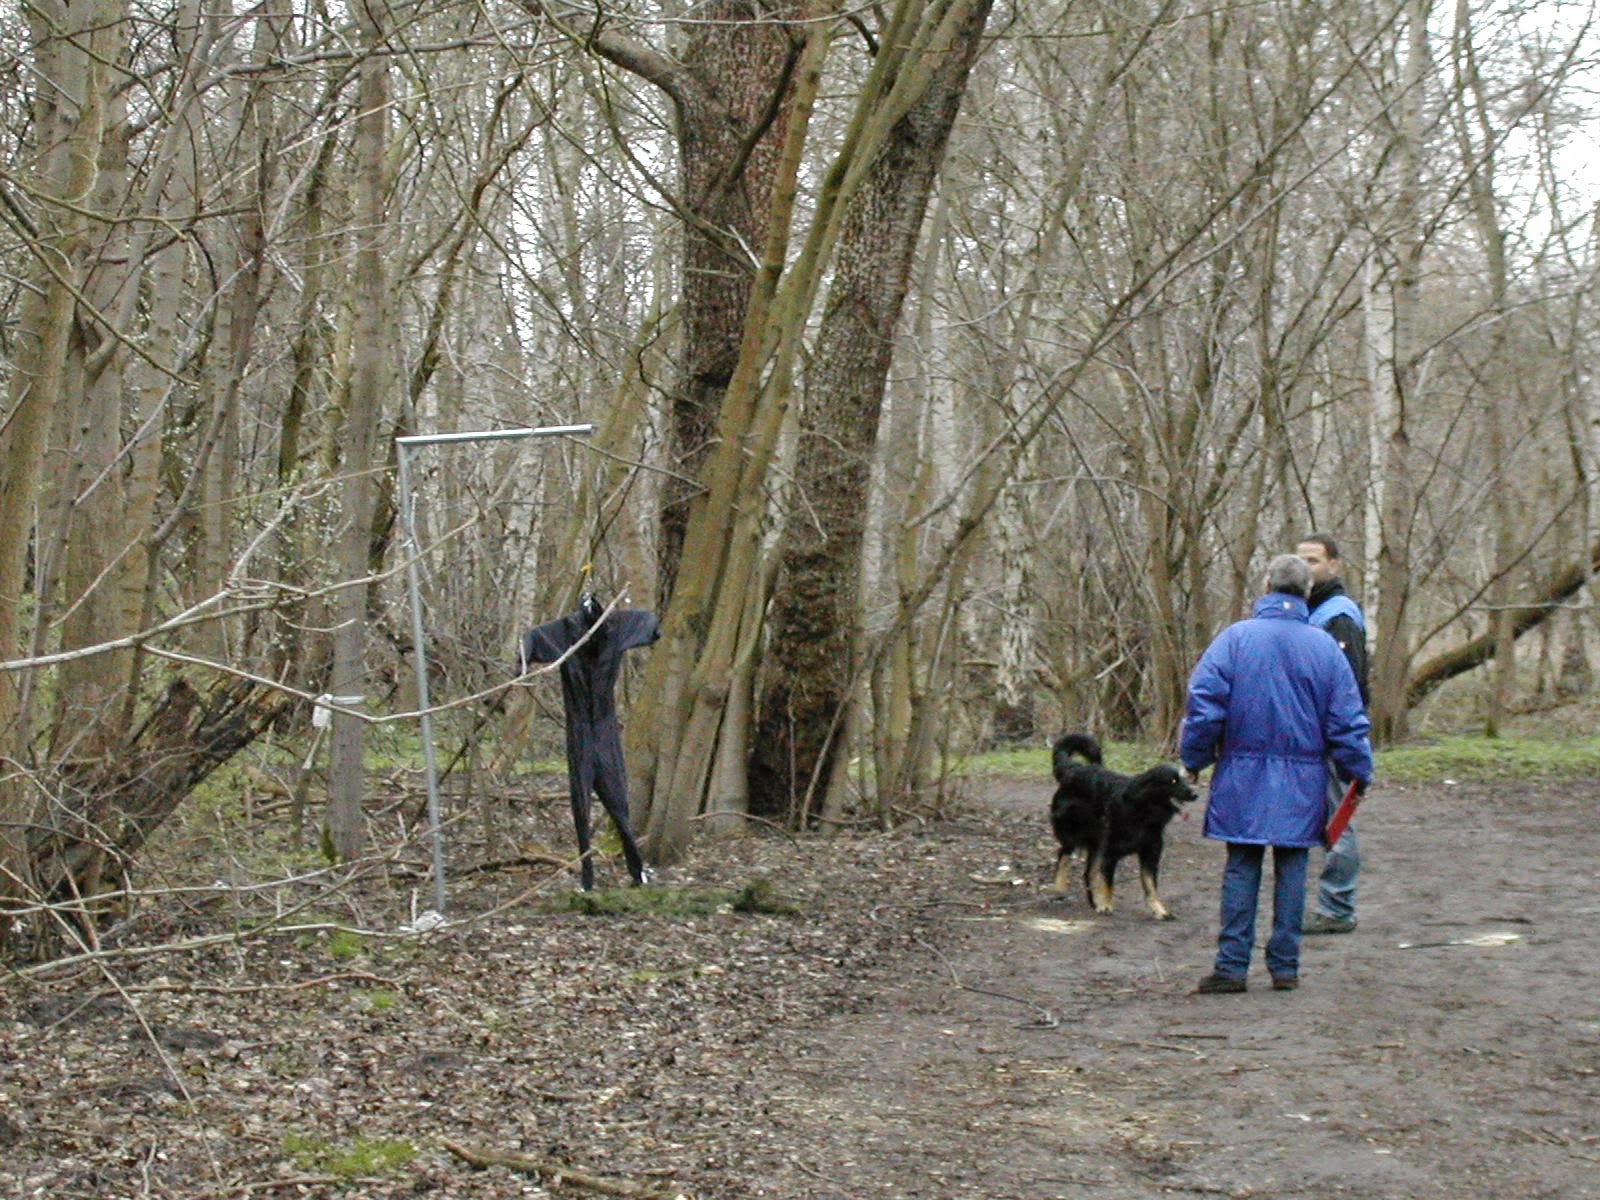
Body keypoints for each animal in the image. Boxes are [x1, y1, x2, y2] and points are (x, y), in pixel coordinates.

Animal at [1049, 732, 1196, 920]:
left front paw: (1159, 909)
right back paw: (1060, 887)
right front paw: (1106, 904)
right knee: (1064, 854)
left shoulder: (1150, 853)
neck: (1143, 810)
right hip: (1076, 831)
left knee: (1088, 872)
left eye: (1184, 780)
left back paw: (1094, 902)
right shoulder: (1111, 852)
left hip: (1097, 843)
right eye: (1173, 781)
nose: (1195, 794)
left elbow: (1150, 885)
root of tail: (1073, 769)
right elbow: (1108, 882)